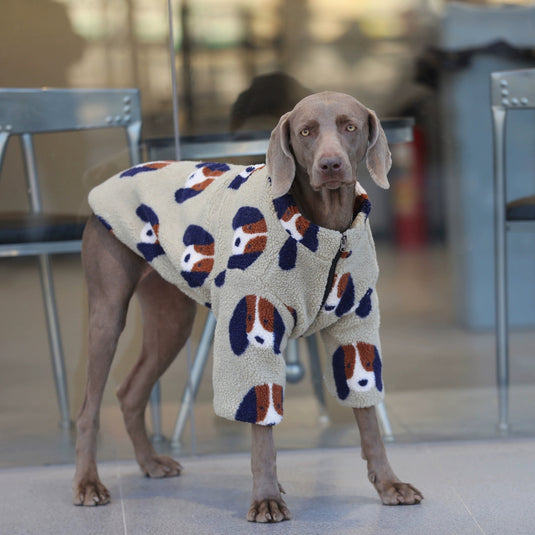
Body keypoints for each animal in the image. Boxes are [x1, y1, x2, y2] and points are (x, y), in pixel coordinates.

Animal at [73, 92, 422, 524]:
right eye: (305, 131)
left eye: (349, 126)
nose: (330, 165)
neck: (326, 228)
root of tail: (116, 176)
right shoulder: (251, 331)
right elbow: (262, 430)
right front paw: (267, 498)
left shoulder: (355, 328)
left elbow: (368, 416)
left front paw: (389, 483)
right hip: (108, 314)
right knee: (89, 408)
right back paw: (88, 483)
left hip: (170, 322)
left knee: (129, 391)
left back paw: (150, 462)